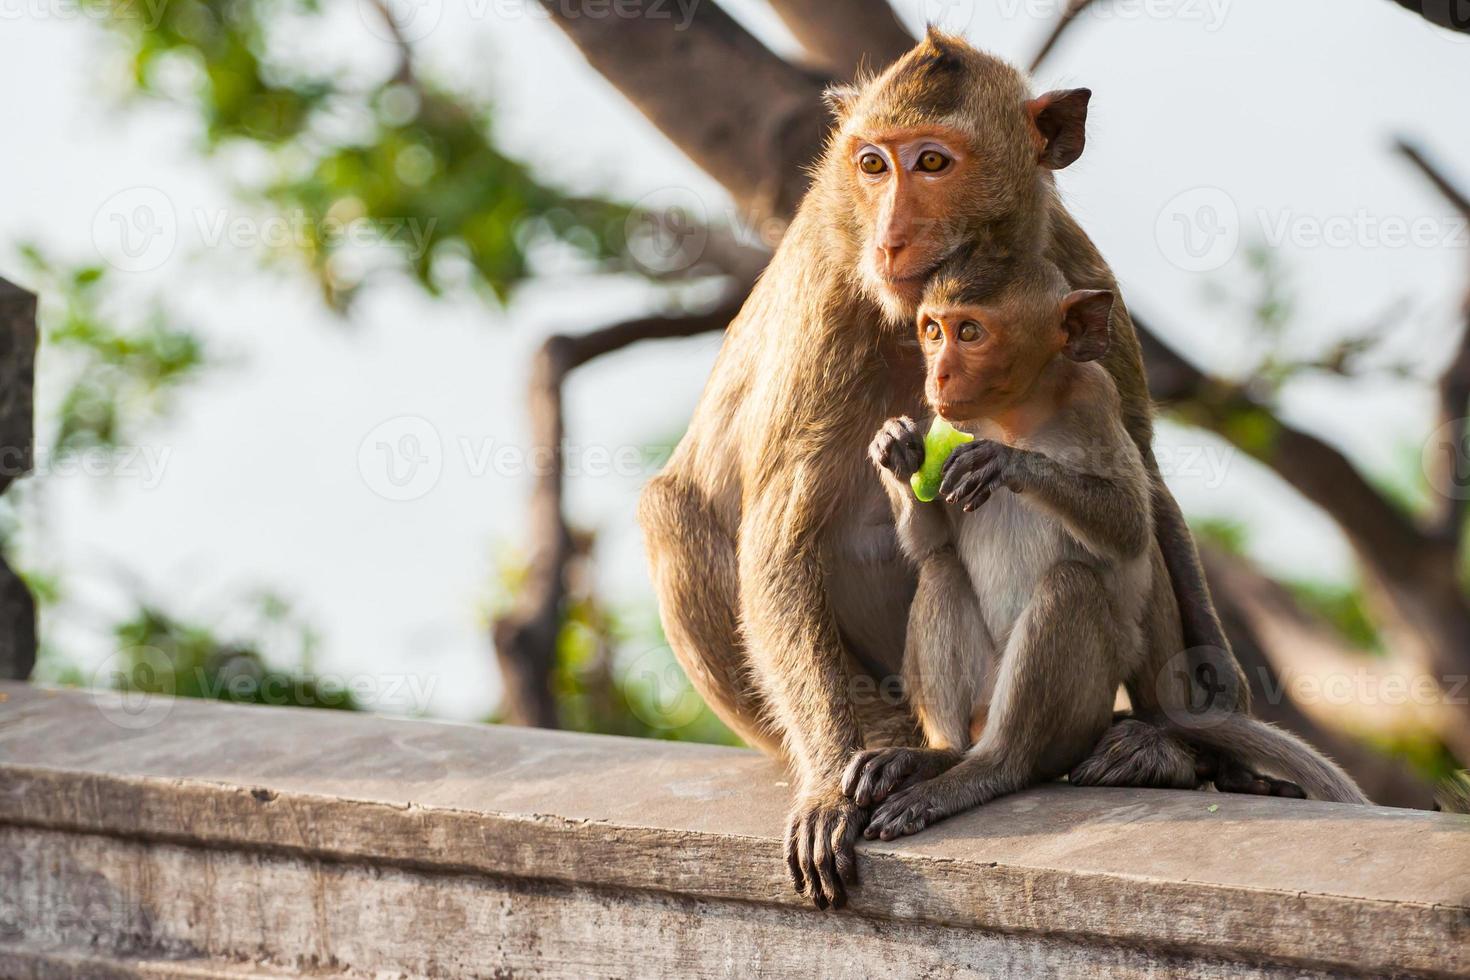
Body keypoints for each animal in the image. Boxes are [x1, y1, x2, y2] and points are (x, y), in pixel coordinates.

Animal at [852, 251, 1158, 834]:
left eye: (969, 332)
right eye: (932, 331)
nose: (938, 374)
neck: (1015, 413)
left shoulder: (1096, 397)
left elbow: (1131, 526)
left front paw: (1010, 463)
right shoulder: (944, 419)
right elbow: (931, 544)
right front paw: (894, 448)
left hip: (1083, 712)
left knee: (1069, 585)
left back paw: (988, 770)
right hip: (981, 695)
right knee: (942, 569)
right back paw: (938, 755)